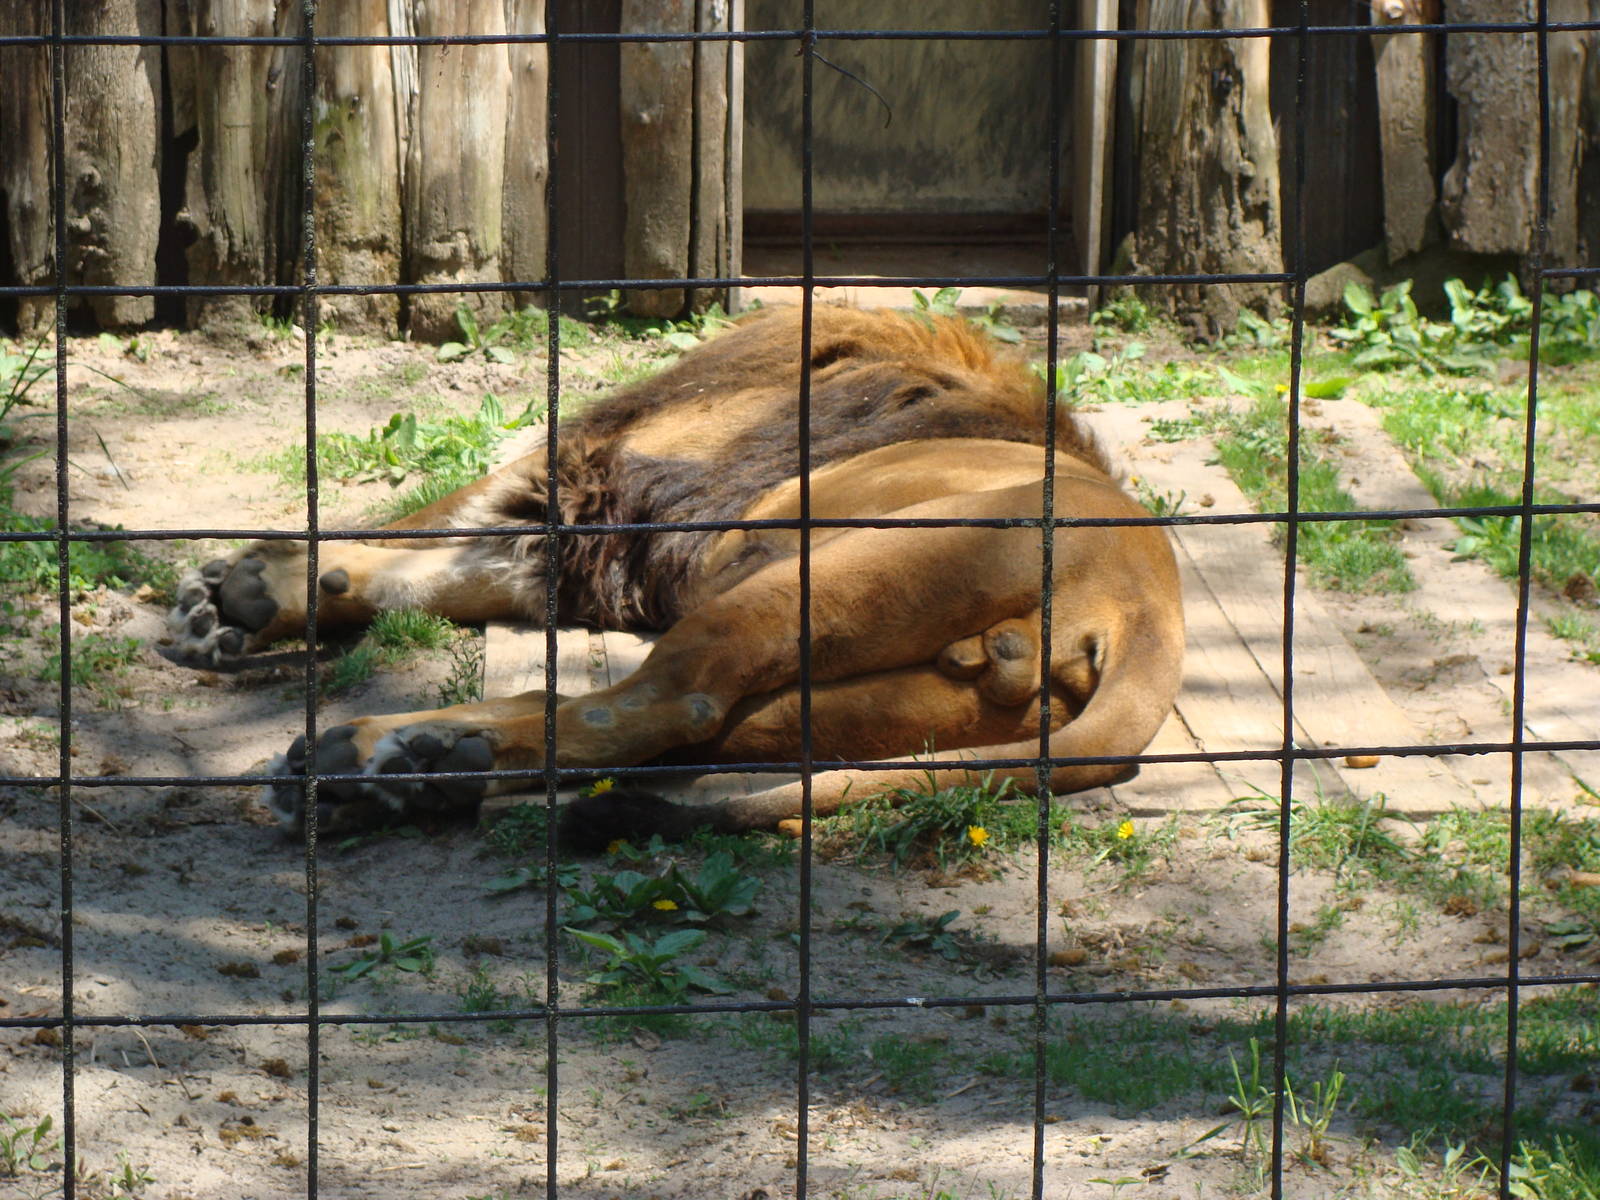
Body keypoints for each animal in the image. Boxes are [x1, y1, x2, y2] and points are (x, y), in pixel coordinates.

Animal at [167, 306, 1184, 841]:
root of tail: (1142, 610)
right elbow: (438, 561)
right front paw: (250, 600)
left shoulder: (591, 483)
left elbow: (434, 525)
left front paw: (249, 586)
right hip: (898, 703)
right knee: (674, 735)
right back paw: (418, 774)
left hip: (806, 587)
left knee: (659, 704)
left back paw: (368, 759)